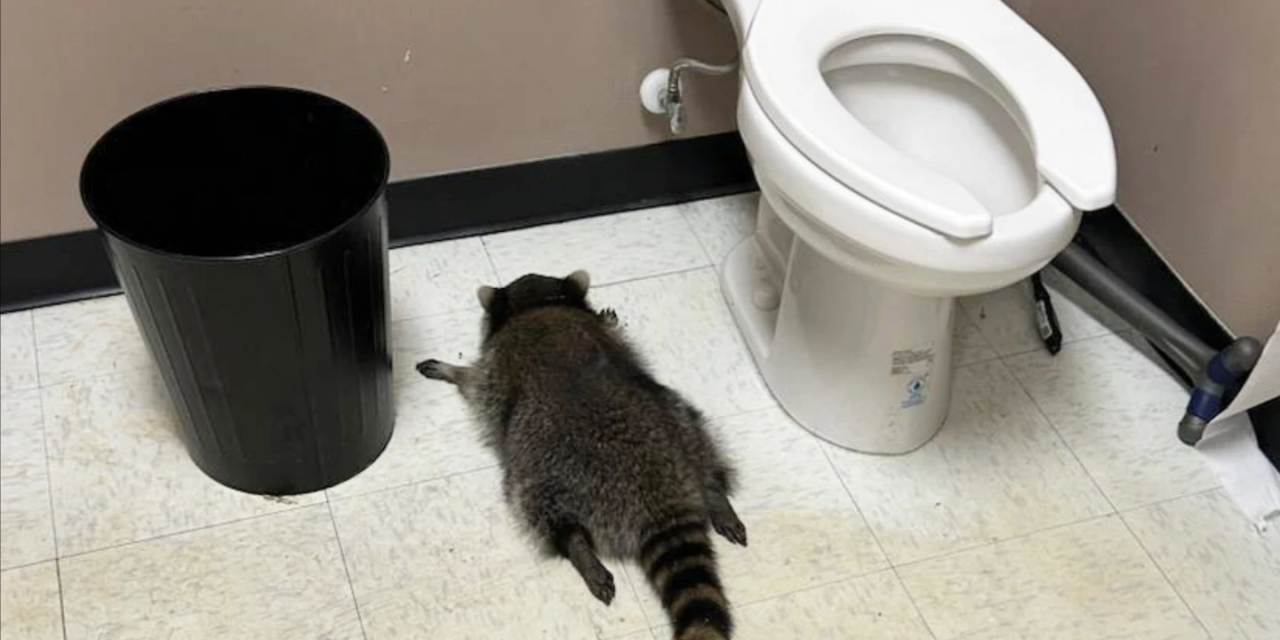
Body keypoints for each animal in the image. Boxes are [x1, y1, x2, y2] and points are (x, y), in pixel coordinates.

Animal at [416, 270, 746, 640]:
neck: (537, 305)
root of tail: (660, 498)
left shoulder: (495, 368)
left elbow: (474, 382)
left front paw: (453, 370)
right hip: (679, 421)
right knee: (701, 443)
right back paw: (715, 493)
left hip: (545, 469)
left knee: (539, 508)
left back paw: (577, 547)